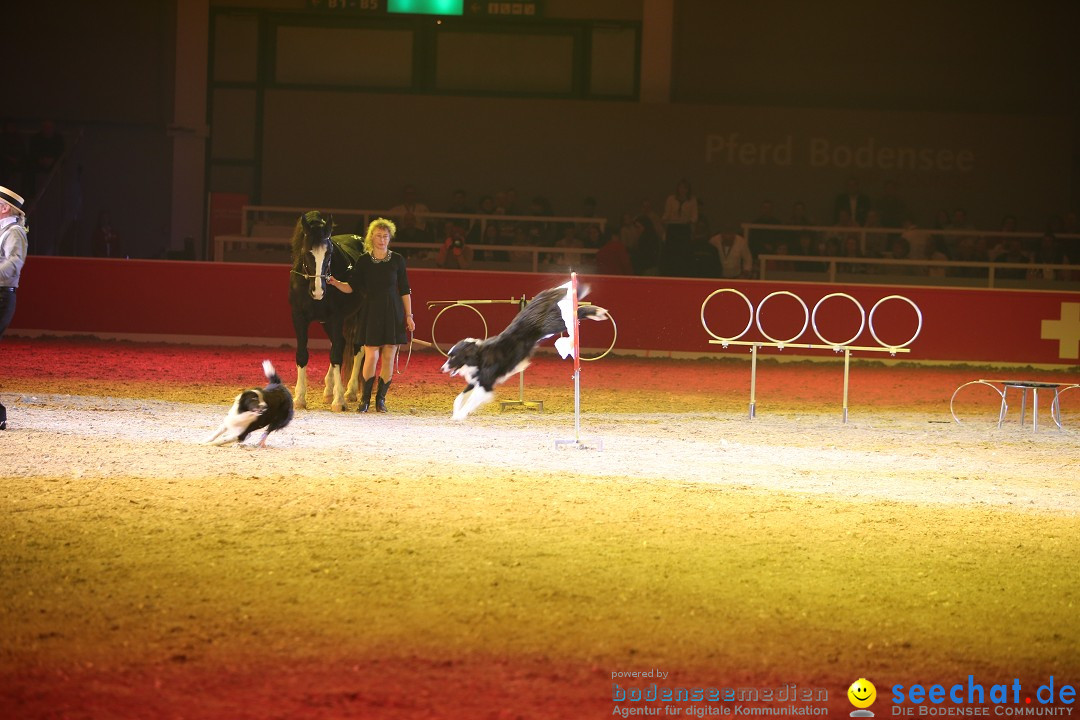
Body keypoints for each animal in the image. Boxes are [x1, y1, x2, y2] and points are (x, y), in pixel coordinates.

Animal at [287, 211, 367, 408]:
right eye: (306, 251)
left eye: (329, 252)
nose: (318, 291)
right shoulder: (299, 317)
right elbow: (302, 354)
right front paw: (300, 398)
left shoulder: (336, 318)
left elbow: (336, 355)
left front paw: (339, 401)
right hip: (327, 324)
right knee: (342, 343)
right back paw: (329, 389)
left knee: (357, 349)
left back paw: (350, 391)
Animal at [438, 280, 609, 416]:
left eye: (453, 356)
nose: (441, 369)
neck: (479, 357)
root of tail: (542, 297)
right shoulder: (476, 381)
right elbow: (459, 397)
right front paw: (455, 413)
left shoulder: (486, 384)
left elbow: (471, 401)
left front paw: (460, 415)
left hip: (553, 323)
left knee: (578, 311)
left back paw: (598, 312)